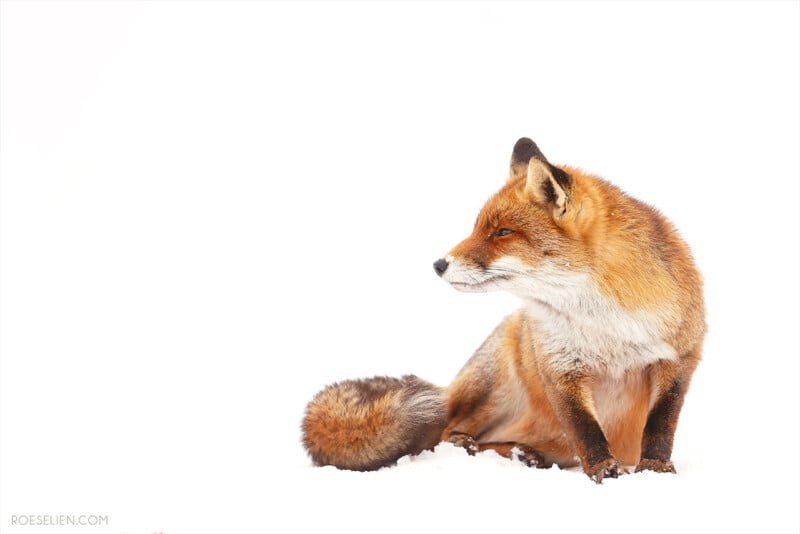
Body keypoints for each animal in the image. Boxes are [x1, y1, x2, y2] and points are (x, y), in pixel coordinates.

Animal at [302, 138, 705, 483]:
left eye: (502, 232)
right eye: (478, 228)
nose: (438, 264)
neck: (606, 324)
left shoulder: (679, 358)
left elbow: (660, 425)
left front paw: (655, 469)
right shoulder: (559, 367)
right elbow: (586, 430)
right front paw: (606, 471)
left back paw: (523, 453)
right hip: (495, 379)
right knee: (446, 432)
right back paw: (483, 448)